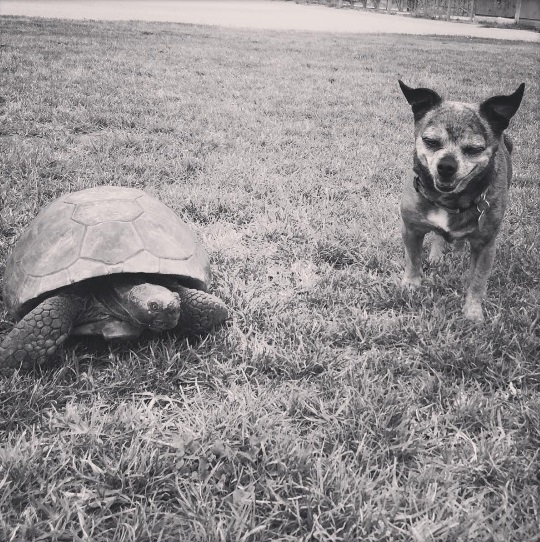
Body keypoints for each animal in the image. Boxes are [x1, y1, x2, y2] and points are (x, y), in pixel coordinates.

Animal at [396, 81, 524, 324]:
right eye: (430, 142)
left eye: (474, 149)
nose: (446, 165)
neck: (448, 200)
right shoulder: (411, 230)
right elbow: (413, 259)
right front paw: (411, 285)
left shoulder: (485, 246)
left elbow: (477, 281)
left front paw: (473, 312)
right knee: (438, 236)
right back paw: (437, 255)